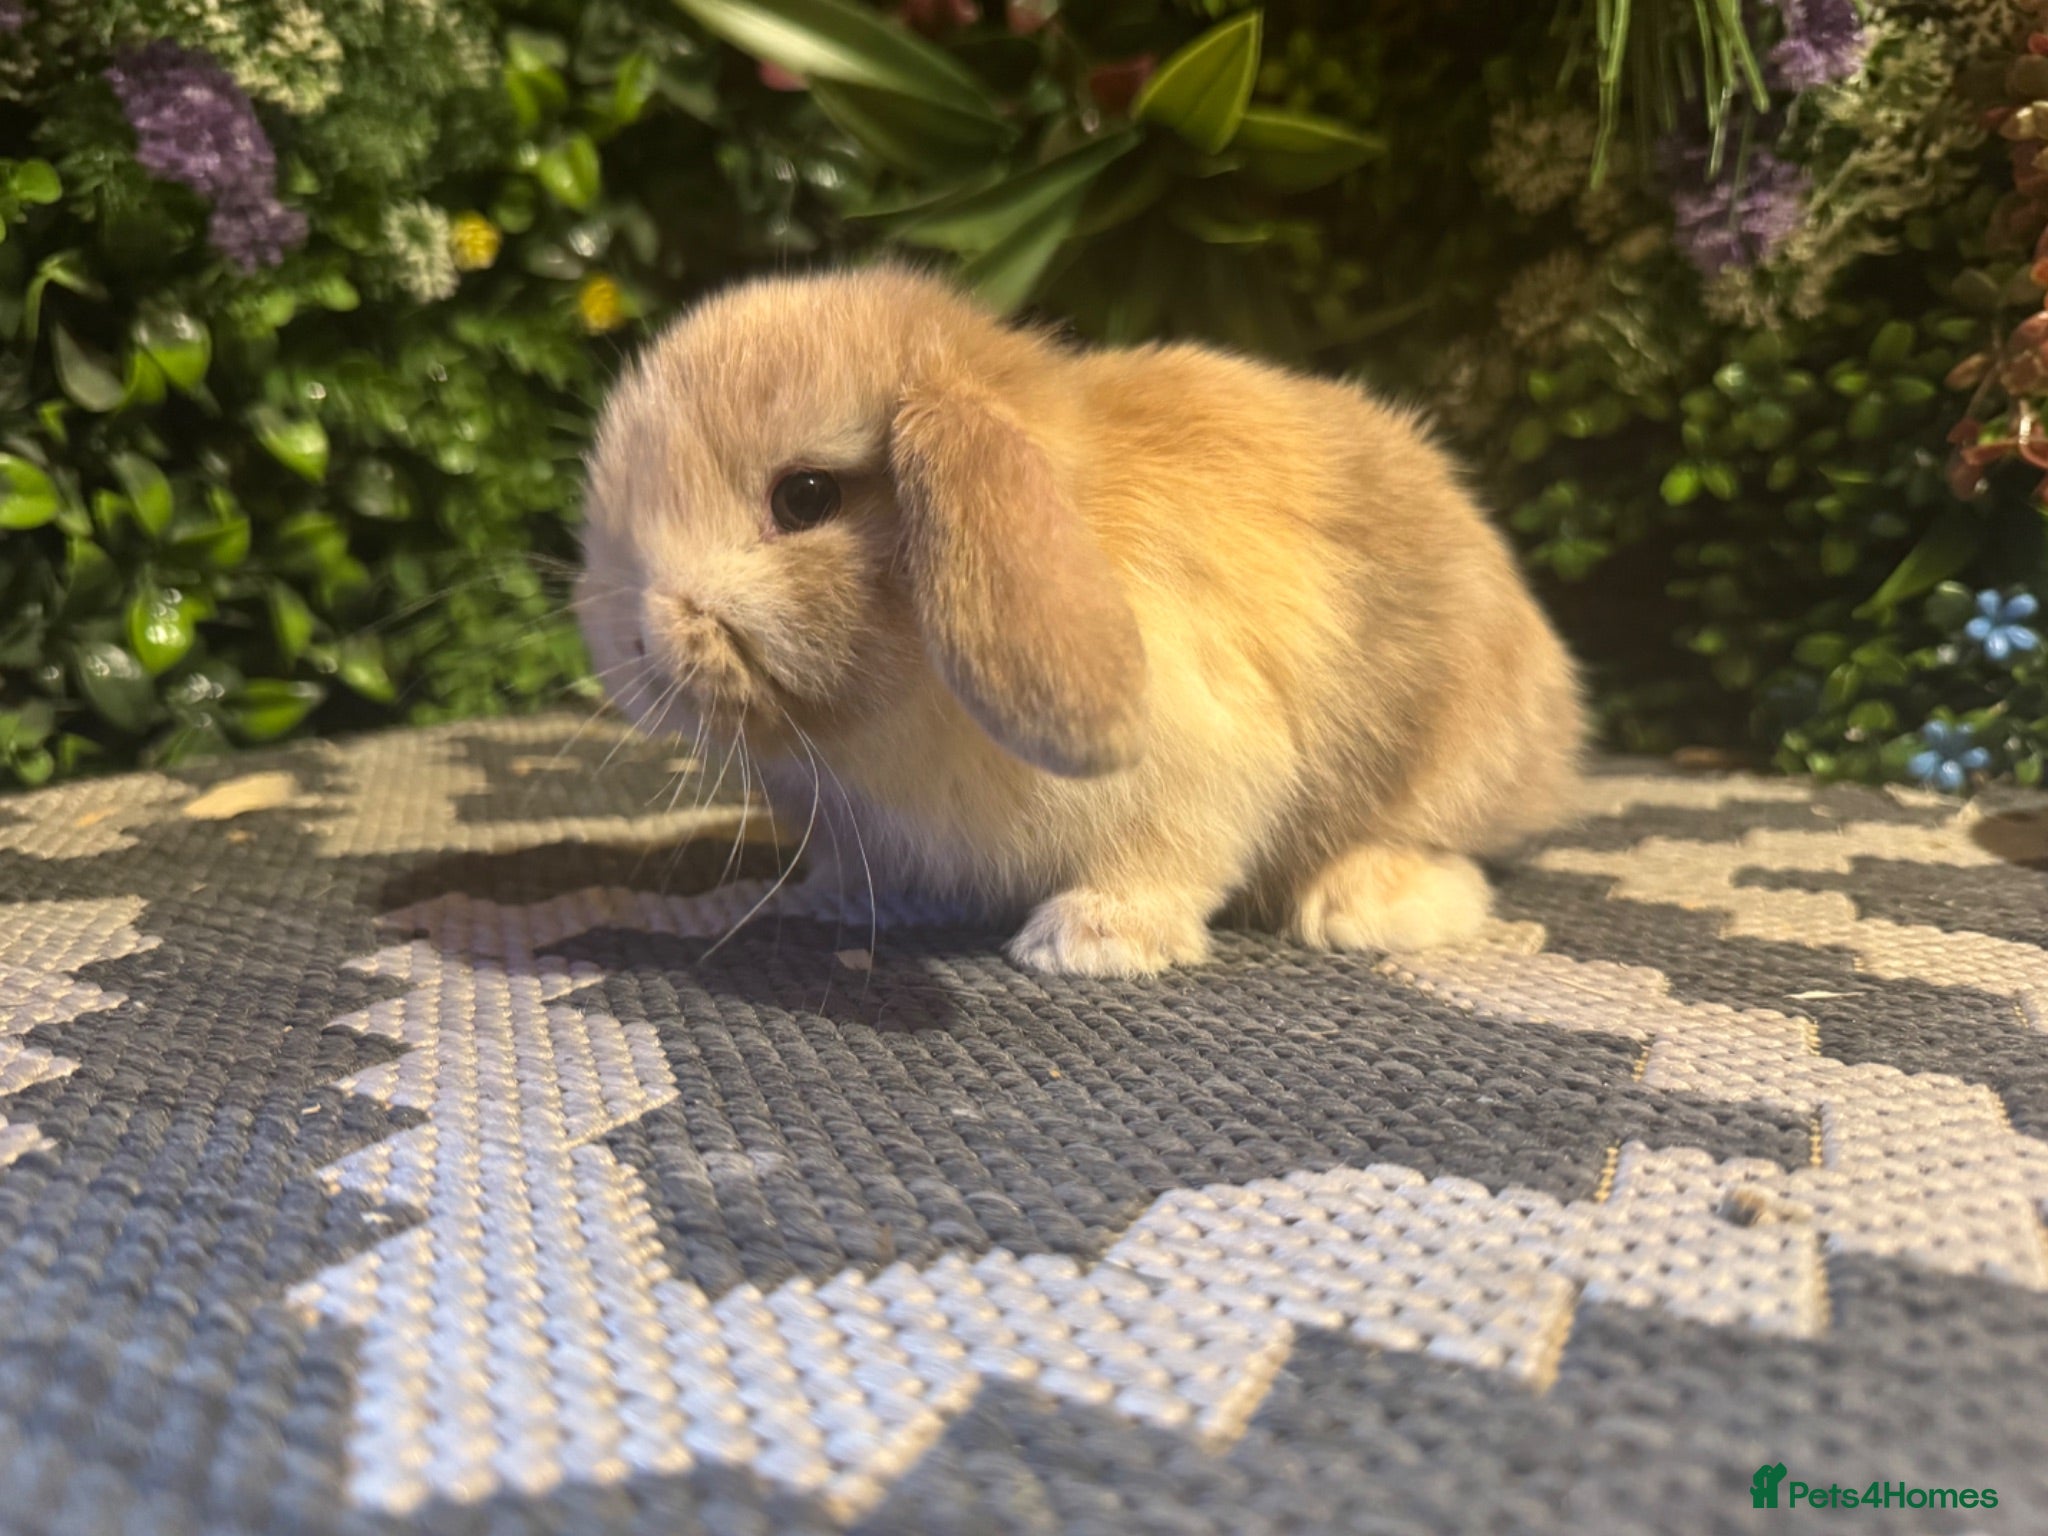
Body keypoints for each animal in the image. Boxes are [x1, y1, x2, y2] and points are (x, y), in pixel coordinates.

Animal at [575, 261, 1586, 978]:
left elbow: (1171, 856)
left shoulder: (1200, 760)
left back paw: (1367, 907)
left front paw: (1091, 942)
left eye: (806, 496)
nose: (634, 647)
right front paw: (832, 898)